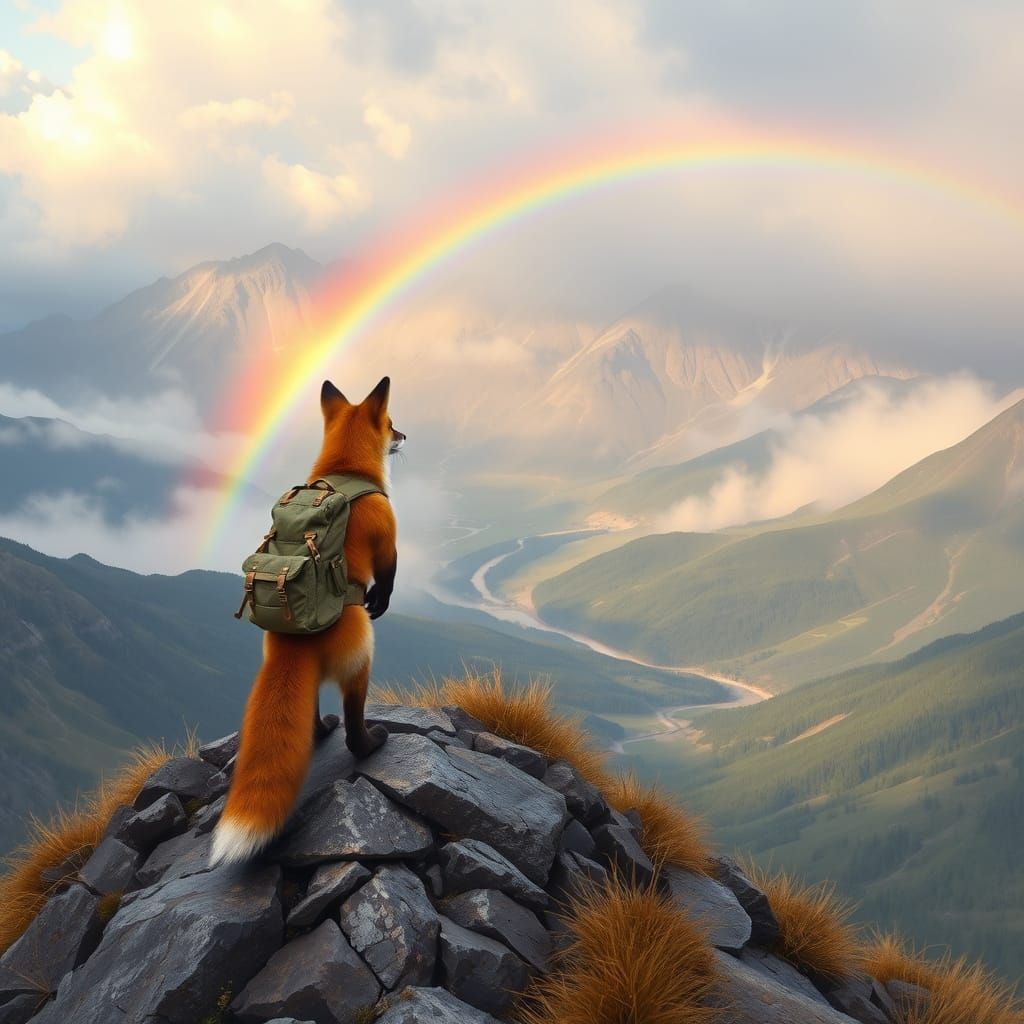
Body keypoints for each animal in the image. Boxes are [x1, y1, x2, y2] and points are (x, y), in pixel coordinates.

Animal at [210, 376, 405, 866]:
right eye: (391, 423)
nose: (406, 436)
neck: (345, 471)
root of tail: (291, 642)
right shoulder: (389, 540)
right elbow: (388, 576)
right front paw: (381, 599)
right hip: (364, 659)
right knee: (353, 728)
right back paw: (370, 742)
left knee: (312, 714)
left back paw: (321, 731)